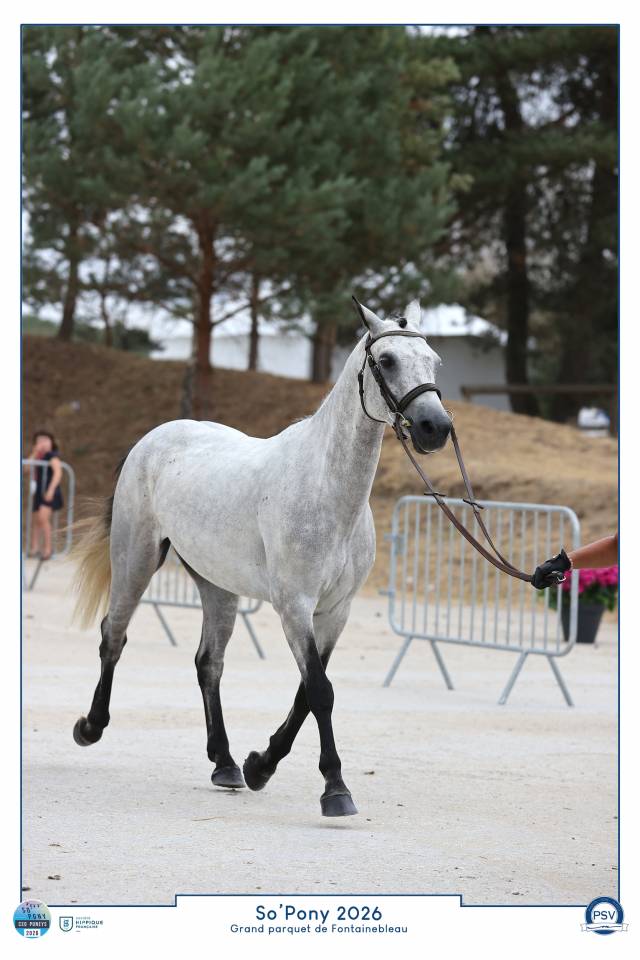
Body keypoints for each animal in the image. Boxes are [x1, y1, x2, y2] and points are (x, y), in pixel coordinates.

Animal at [71, 299, 452, 817]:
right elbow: (320, 692)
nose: (436, 428)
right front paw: (335, 790)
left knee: (208, 663)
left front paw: (260, 766)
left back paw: (226, 763)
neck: (325, 491)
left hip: (217, 586)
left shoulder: (335, 612)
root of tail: (151, 439)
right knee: (114, 636)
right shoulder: (294, 607)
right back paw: (90, 726)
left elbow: (307, 694)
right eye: (387, 360)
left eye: (434, 361)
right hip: (135, 558)